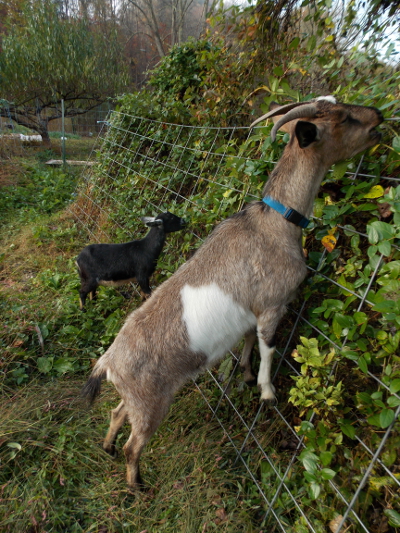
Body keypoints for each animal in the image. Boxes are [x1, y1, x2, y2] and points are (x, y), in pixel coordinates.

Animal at [82, 97, 384, 488]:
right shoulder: (272, 304)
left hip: (135, 400)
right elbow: (268, 346)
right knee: (134, 445)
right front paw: (266, 391)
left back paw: (107, 448)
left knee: (117, 413)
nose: (378, 116)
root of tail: (107, 363)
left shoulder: (251, 313)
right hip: (151, 403)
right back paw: (138, 486)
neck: (276, 222)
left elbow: (249, 341)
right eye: (344, 118)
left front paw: (244, 374)